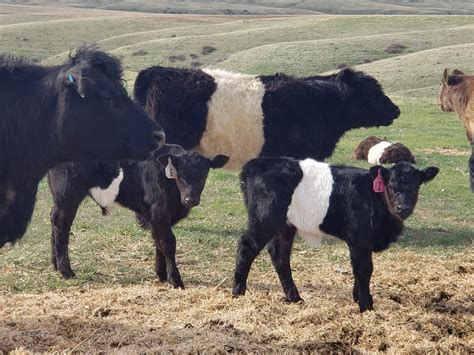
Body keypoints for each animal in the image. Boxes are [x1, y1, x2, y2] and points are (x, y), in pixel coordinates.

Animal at [47, 145, 229, 286]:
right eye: (179, 173)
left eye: (204, 174)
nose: (190, 199)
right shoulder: (159, 211)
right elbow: (168, 243)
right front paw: (175, 280)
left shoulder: (155, 216)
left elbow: (158, 242)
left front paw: (161, 274)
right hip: (68, 195)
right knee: (62, 225)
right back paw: (66, 271)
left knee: (54, 219)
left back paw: (55, 264)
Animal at [232, 159, 436, 312]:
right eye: (391, 186)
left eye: (415, 188)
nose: (403, 208)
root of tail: (256, 164)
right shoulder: (359, 238)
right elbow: (364, 269)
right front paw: (366, 305)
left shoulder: (361, 242)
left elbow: (358, 268)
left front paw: (358, 298)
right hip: (264, 219)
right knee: (247, 246)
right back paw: (238, 291)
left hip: (286, 225)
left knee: (280, 255)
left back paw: (294, 297)